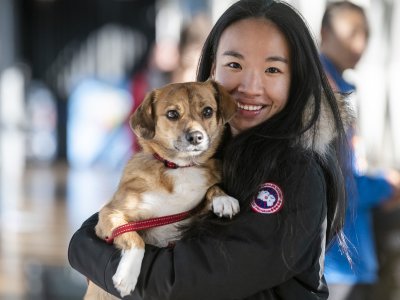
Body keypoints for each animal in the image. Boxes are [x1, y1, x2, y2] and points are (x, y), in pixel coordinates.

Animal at [84, 80, 239, 300]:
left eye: (208, 111)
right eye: (172, 114)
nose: (196, 137)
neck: (179, 167)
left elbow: (212, 187)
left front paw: (223, 199)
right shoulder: (110, 215)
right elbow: (135, 238)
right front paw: (127, 275)